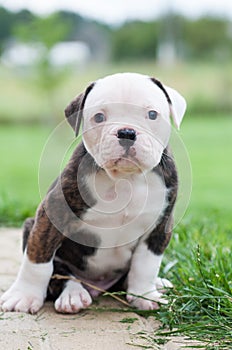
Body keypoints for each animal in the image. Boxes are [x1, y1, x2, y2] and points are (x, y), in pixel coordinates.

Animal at [0, 72, 186, 314]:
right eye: (99, 117)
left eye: (152, 114)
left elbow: (146, 264)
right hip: (31, 227)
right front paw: (24, 295)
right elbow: (37, 261)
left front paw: (145, 295)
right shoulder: (51, 215)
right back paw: (73, 295)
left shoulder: (159, 225)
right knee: (60, 274)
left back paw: (157, 283)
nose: (127, 132)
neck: (125, 179)